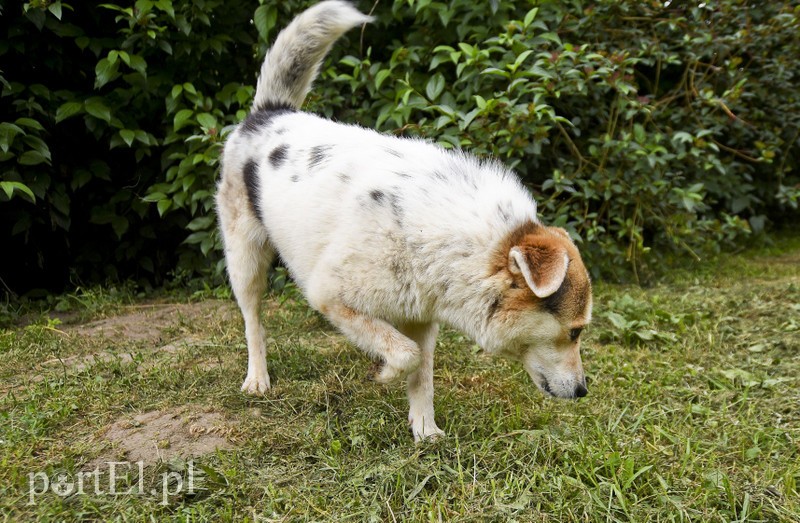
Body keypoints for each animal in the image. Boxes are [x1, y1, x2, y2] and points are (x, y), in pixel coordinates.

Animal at [216, 0, 592, 442]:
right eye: (575, 331)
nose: (584, 392)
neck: (448, 240)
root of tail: (269, 113)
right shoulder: (330, 296)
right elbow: (406, 356)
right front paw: (384, 374)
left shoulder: (422, 317)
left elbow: (423, 373)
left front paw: (425, 430)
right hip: (245, 260)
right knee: (253, 322)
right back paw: (258, 378)